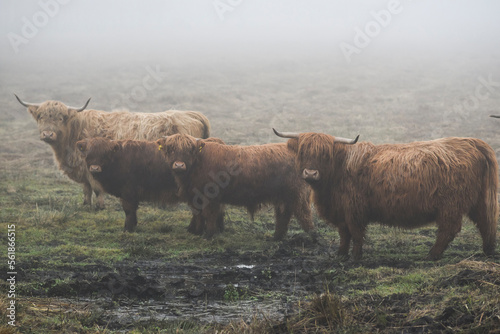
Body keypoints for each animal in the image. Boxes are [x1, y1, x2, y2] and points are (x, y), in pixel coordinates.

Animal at [15, 94, 211, 209]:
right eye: (40, 117)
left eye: (61, 118)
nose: (47, 134)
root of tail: (193, 114)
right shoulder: (83, 169)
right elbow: (86, 189)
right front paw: (85, 205)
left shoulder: (93, 167)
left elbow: (96, 188)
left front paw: (100, 206)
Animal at [154, 132, 314, 239]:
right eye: (170, 148)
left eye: (189, 149)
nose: (179, 165)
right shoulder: (196, 196)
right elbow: (199, 214)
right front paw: (198, 231)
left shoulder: (211, 196)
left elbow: (209, 215)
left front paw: (209, 235)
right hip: (283, 196)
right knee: (283, 215)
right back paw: (277, 237)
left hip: (297, 194)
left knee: (304, 214)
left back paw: (312, 238)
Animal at [276, 129, 498, 262]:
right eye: (302, 152)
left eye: (324, 154)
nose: (310, 173)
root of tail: (472, 141)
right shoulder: (342, 211)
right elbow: (344, 234)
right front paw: (341, 254)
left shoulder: (354, 209)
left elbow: (356, 233)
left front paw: (355, 258)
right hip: (478, 200)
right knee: (486, 223)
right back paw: (487, 252)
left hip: (451, 204)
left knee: (449, 229)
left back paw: (432, 255)